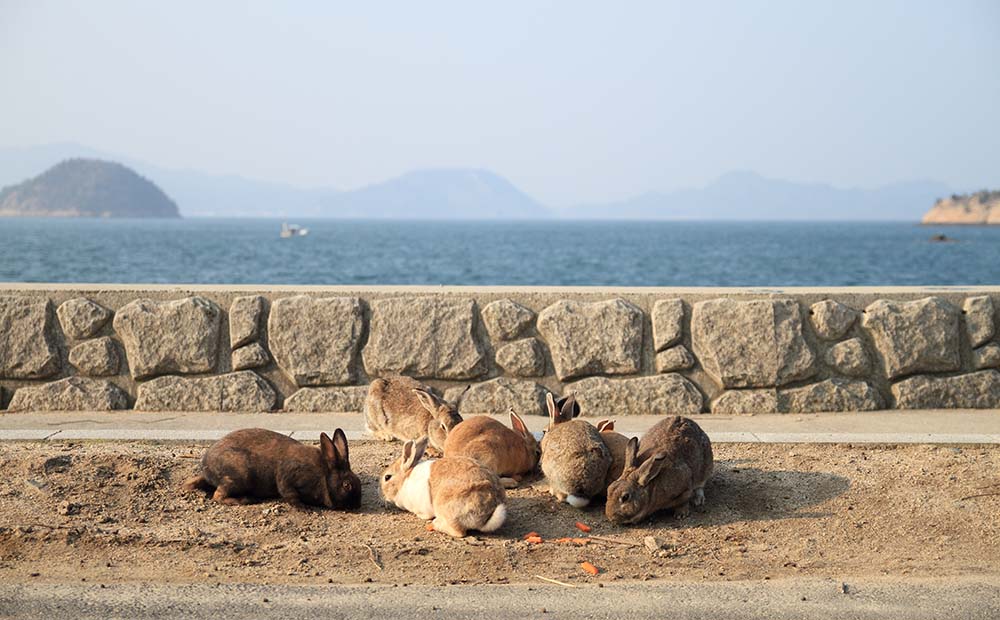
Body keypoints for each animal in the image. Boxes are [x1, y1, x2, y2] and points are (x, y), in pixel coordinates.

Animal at [184, 428, 364, 512]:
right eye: (347, 485)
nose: (357, 505)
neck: (324, 474)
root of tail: (206, 468)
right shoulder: (287, 476)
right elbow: (289, 493)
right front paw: (303, 508)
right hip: (240, 475)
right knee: (217, 495)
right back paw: (245, 500)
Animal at [380, 436, 512, 536]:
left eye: (387, 477)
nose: (382, 495)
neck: (404, 481)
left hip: (447, 508)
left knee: (459, 532)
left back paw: (434, 525)